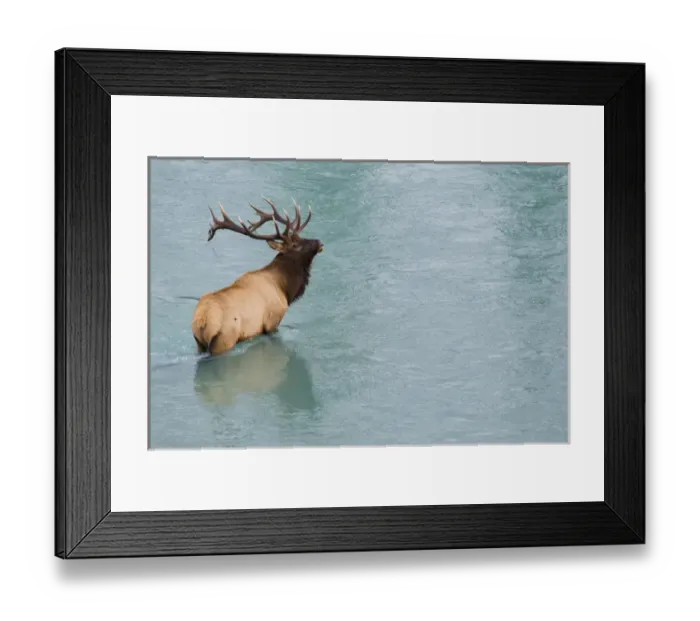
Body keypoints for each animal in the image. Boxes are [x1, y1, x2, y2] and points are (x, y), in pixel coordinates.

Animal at [191, 197, 324, 356]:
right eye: (295, 244)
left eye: (301, 237)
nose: (319, 242)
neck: (284, 288)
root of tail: (202, 320)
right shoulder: (272, 321)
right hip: (225, 339)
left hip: (199, 344)